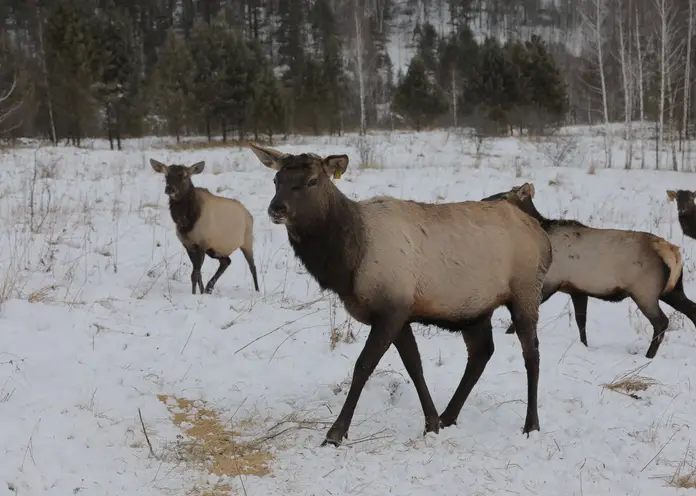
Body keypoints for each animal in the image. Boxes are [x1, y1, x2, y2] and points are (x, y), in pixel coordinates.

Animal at [151, 159, 260, 294]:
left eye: (184, 176)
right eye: (166, 175)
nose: (169, 189)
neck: (185, 222)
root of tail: (249, 215)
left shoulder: (202, 244)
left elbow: (195, 274)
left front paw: (195, 294)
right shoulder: (188, 245)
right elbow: (197, 274)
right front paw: (201, 292)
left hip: (247, 241)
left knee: (252, 266)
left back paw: (257, 290)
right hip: (215, 250)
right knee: (226, 261)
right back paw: (209, 287)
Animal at [247, 141, 552, 448]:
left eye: (312, 181)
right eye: (276, 180)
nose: (276, 208)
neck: (347, 264)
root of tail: (541, 234)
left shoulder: (392, 309)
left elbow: (363, 366)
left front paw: (335, 433)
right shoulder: (401, 313)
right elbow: (414, 365)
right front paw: (431, 423)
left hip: (526, 291)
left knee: (532, 354)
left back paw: (531, 424)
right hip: (475, 309)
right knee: (482, 352)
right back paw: (448, 416)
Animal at [484, 184, 696, 358]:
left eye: (503, 196)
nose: (483, 200)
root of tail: (673, 252)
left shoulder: (550, 281)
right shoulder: (577, 290)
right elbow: (581, 323)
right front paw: (585, 346)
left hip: (645, 291)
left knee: (661, 322)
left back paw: (649, 356)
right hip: (672, 290)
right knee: (691, 310)